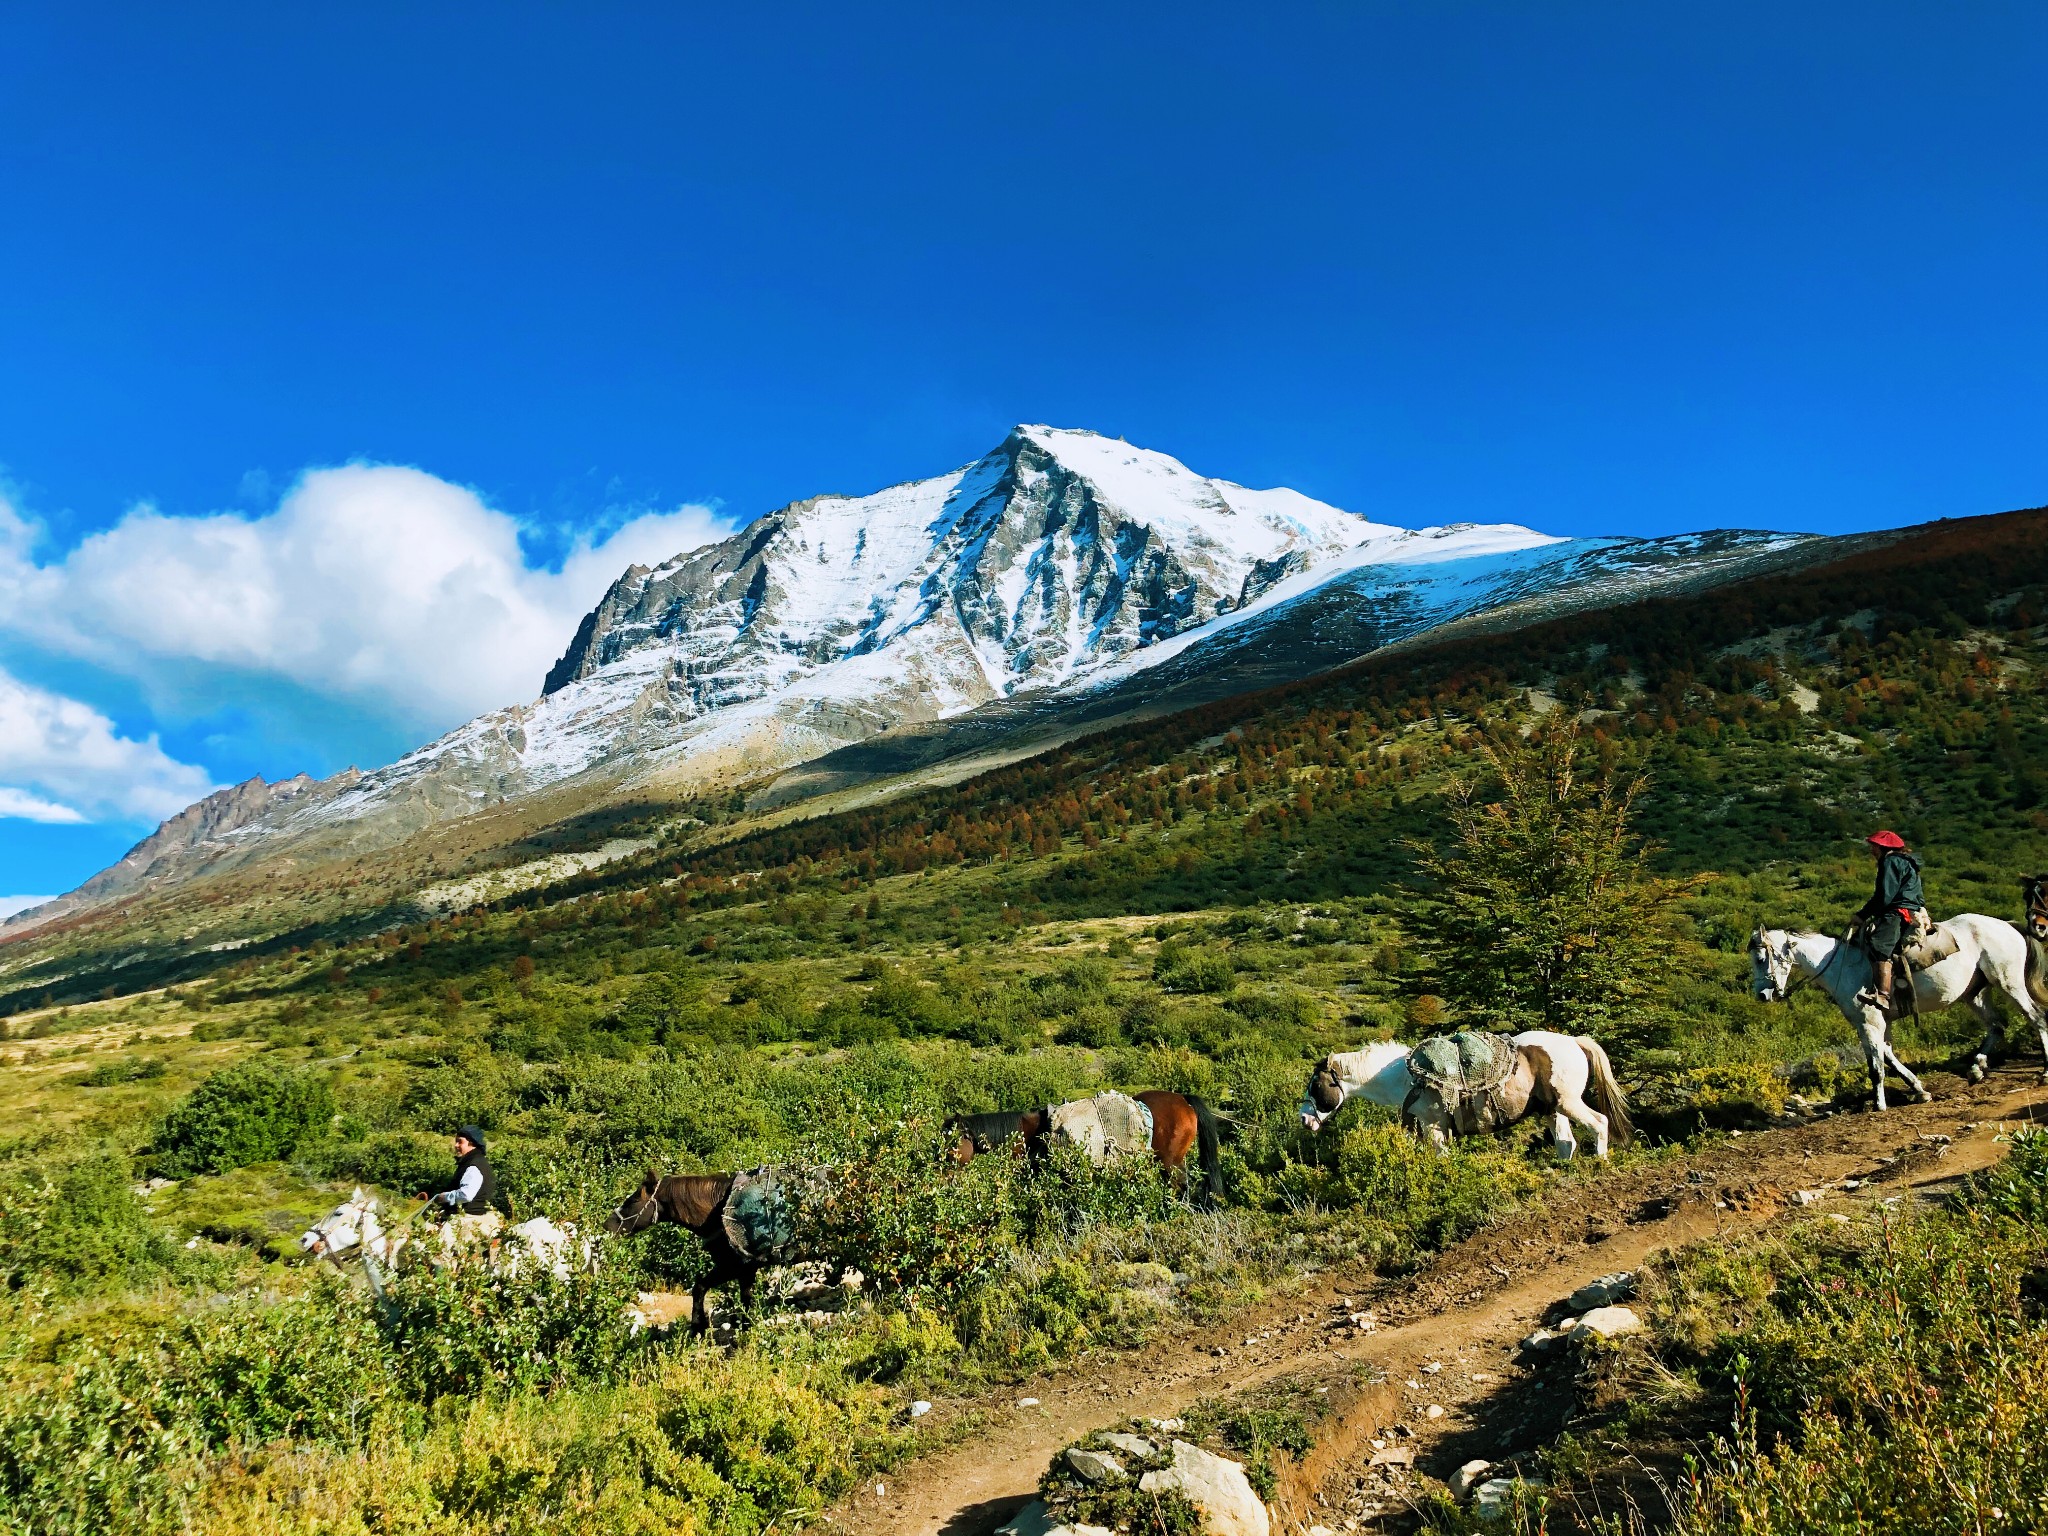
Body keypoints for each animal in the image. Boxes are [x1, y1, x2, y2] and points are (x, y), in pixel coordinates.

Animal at [1310, 1036, 1630, 1163]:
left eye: (1317, 1085)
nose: (1305, 1119)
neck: (1405, 1077)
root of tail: (1574, 1041)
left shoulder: (1435, 1127)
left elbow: (1442, 1159)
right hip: (1553, 1110)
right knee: (1566, 1143)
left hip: (1568, 1103)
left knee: (1599, 1123)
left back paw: (1601, 1161)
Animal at [1744, 921, 2048, 1114]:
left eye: (1760, 958)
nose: (1762, 995)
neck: (1843, 965)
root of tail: (2008, 925)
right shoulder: (1879, 1023)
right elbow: (1889, 1056)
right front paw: (1919, 1089)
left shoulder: (1869, 1023)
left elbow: (1876, 1066)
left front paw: (1879, 1105)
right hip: (1974, 994)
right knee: (1997, 1026)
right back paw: (1976, 1068)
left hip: (2009, 984)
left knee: (2037, 1019)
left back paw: (2044, 1071)